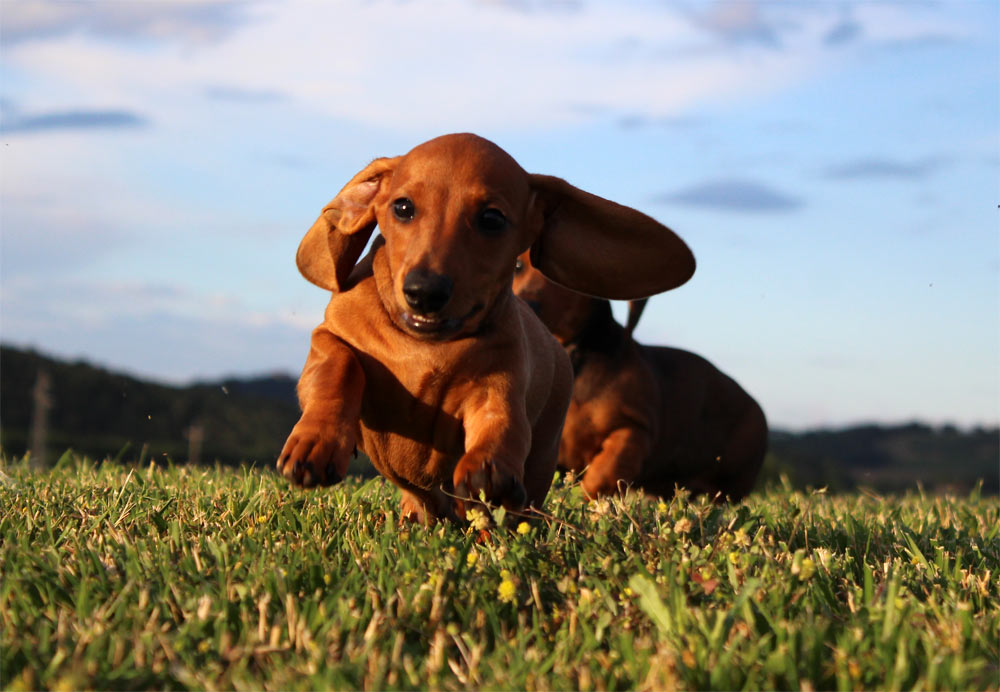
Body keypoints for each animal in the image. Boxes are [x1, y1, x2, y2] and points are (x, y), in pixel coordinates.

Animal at [274, 135, 696, 520]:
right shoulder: (330, 339)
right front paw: (317, 442)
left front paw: (487, 467)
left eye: (491, 219)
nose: (424, 292)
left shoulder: (499, 384)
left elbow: (499, 422)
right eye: (403, 208)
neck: (425, 344)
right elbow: (338, 368)